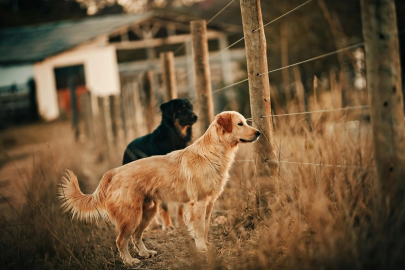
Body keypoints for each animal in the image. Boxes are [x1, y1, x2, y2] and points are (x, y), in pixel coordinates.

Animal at [121, 98, 197, 229]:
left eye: (190, 107)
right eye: (180, 108)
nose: (195, 116)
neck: (174, 137)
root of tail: (128, 147)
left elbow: (180, 205)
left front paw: (181, 223)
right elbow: (164, 206)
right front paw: (168, 225)